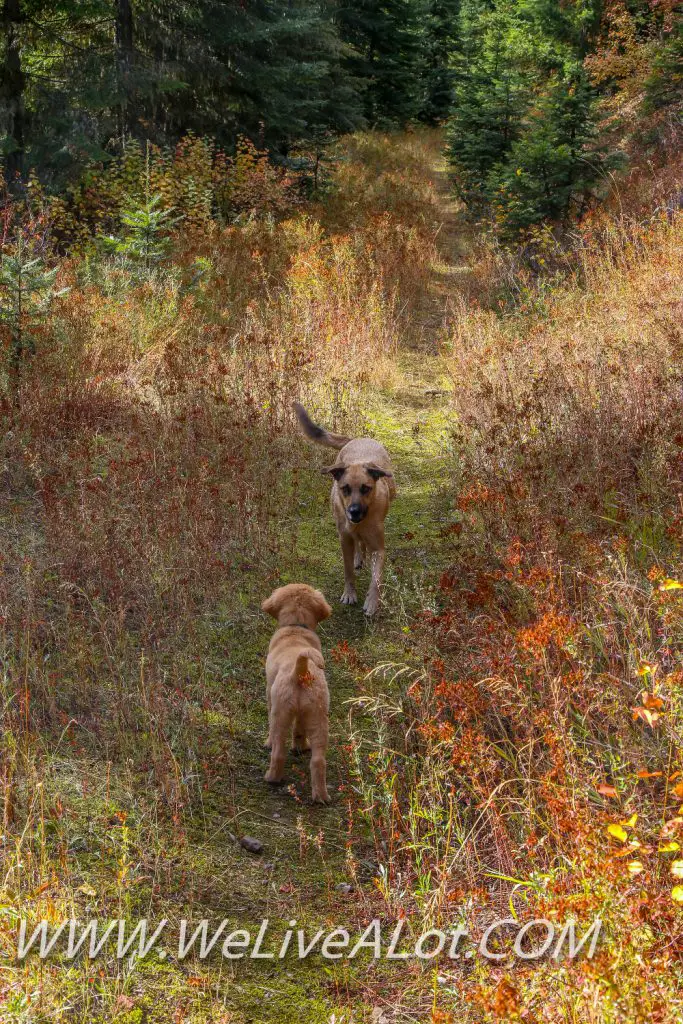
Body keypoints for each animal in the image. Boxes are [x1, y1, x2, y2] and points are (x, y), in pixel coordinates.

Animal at [262, 585, 333, 798]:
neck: (296, 628)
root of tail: (300, 671)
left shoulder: (269, 693)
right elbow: (299, 730)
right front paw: (300, 747)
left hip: (281, 713)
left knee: (278, 751)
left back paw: (272, 777)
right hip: (318, 716)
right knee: (318, 761)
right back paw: (321, 796)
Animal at [292, 403, 395, 614]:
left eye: (366, 488)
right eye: (345, 489)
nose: (353, 511)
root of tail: (356, 439)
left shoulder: (378, 547)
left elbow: (376, 578)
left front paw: (372, 602)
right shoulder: (344, 539)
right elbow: (348, 571)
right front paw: (349, 593)